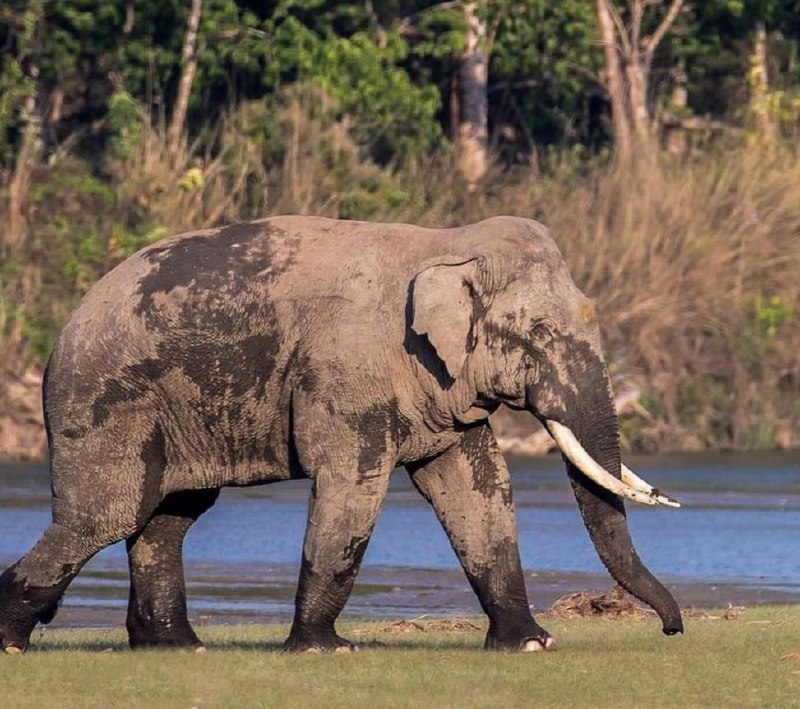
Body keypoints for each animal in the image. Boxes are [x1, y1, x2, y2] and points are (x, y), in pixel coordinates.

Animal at [0, 215, 683, 654]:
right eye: (536, 334)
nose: (672, 629)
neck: (444, 242)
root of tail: (63, 330)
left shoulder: (439, 384)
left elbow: (475, 485)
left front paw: (533, 645)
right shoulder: (347, 370)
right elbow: (353, 483)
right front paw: (325, 651)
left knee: (168, 517)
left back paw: (176, 648)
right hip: (104, 403)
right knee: (109, 513)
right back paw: (13, 643)